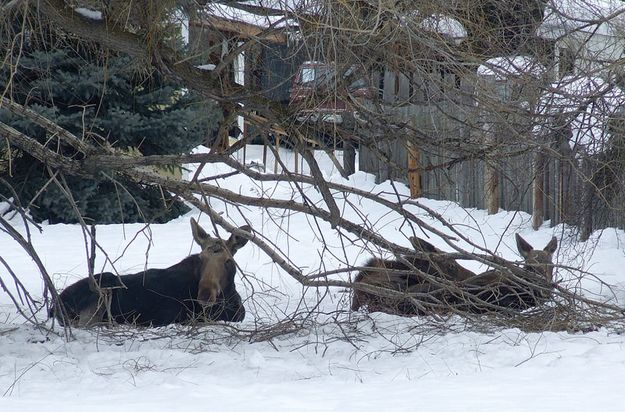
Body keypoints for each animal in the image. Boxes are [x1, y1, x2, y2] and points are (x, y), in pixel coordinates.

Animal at [50, 217, 251, 326]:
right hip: (101, 294)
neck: (227, 299)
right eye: (201, 258)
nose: (205, 295)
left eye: (228, 261)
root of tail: (55, 304)